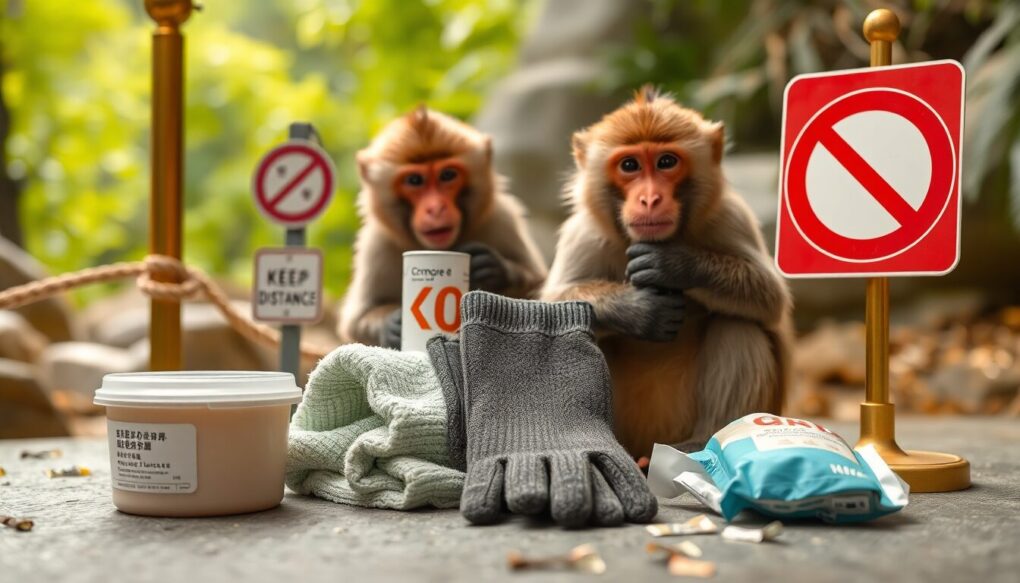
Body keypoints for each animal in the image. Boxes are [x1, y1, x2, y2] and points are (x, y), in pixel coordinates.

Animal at [338, 106, 548, 348]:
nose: (436, 208)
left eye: (447, 175)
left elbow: (543, 290)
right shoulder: (376, 244)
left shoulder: (503, 219)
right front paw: (392, 325)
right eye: (414, 180)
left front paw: (495, 268)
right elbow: (354, 322)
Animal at [541, 87, 793, 458]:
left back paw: (701, 442)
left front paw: (674, 264)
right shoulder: (584, 233)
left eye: (666, 162)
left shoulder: (730, 216)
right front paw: (640, 310)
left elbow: (769, 296)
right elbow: (551, 306)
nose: (649, 200)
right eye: (630, 165)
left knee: (738, 323)